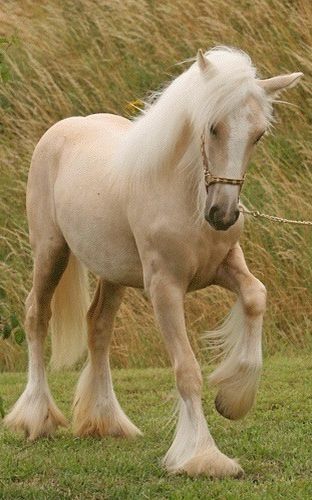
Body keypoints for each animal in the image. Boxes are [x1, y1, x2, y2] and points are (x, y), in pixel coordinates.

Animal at [4, 48, 302, 478]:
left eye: (258, 135)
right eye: (212, 128)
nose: (223, 214)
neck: (184, 195)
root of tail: (61, 129)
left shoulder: (224, 267)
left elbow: (255, 296)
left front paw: (233, 398)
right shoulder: (165, 288)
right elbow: (187, 371)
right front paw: (203, 457)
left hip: (112, 273)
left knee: (98, 327)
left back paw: (107, 422)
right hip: (50, 252)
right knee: (36, 316)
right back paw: (36, 419)